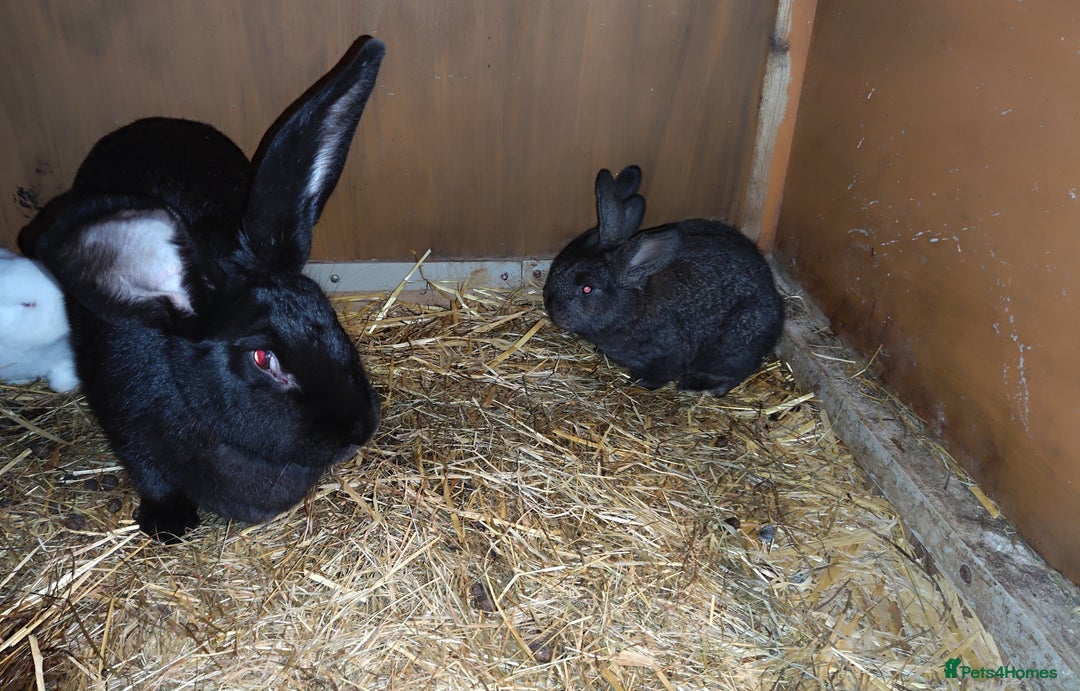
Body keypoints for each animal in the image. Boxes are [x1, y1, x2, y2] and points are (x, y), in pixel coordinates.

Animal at [17, 36, 386, 542]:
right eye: (262, 358)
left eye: (330, 317)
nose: (360, 427)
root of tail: (155, 123)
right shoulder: (124, 424)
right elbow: (147, 469)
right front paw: (168, 524)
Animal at [543, 164, 784, 397]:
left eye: (587, 289)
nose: (552, 308)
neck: (635, 308)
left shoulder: (664, 356)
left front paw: (640, 382)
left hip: (731, 347)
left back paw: (696, 386)